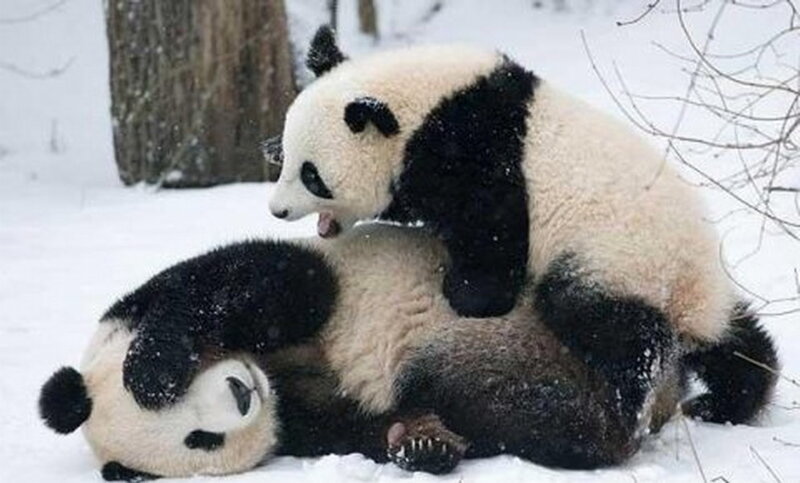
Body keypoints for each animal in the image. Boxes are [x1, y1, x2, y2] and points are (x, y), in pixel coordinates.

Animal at [38, 224, 730, 480]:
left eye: (191, 415)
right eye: (200, 440)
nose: (238, 393)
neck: (274, 375)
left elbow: (270, 281)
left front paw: (152, 368)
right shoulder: (300, 423)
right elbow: (356, 426)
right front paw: (417, 442)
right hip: (516, 368)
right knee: (553, 418)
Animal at [267, 26, 779, 427]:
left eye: (312, 176)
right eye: (287, 159)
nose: (276, 210)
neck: (423, 106)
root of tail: (685, 284)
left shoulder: (475, 151)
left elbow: (491, 230)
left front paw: (466, 295)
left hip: (614, 255)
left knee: (613, 326)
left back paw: (624, 399)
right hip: (697, 287)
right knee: (733, 339)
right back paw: (728, 400)